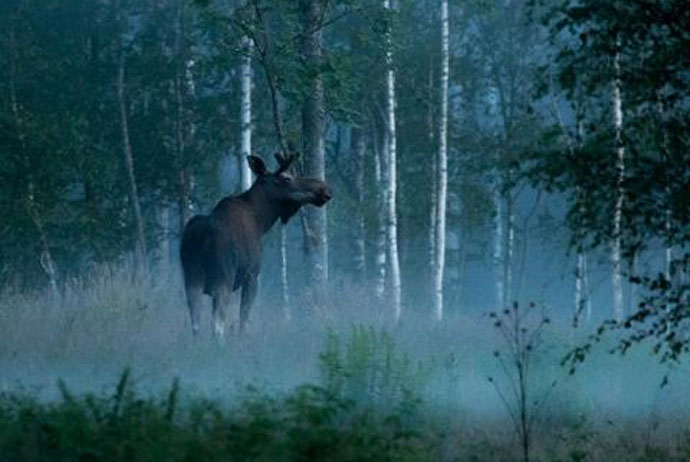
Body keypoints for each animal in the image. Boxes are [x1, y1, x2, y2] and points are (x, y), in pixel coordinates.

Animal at [177, 153, 328, 338]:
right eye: (287, 178)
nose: (324, 188)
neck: (262, 221)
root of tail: (202, 238)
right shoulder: (252, 275)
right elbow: (243, 319)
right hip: (223, 278)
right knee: (217, 326)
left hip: (192, 277)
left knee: (196, 323)